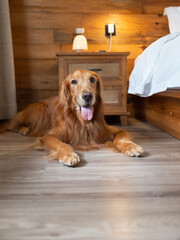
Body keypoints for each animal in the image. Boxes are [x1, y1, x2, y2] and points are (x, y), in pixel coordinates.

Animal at [3, 69, 143, 166]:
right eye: (73, 81)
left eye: (92, 79)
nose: (87, 95)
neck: (83, 121)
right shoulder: (48, 136)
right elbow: (64, 144)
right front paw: (69, 155)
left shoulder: (111, 130)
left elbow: (121, 138)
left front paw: (131, 147)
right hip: (38, 109)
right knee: (10, 125)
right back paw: (23, 129)